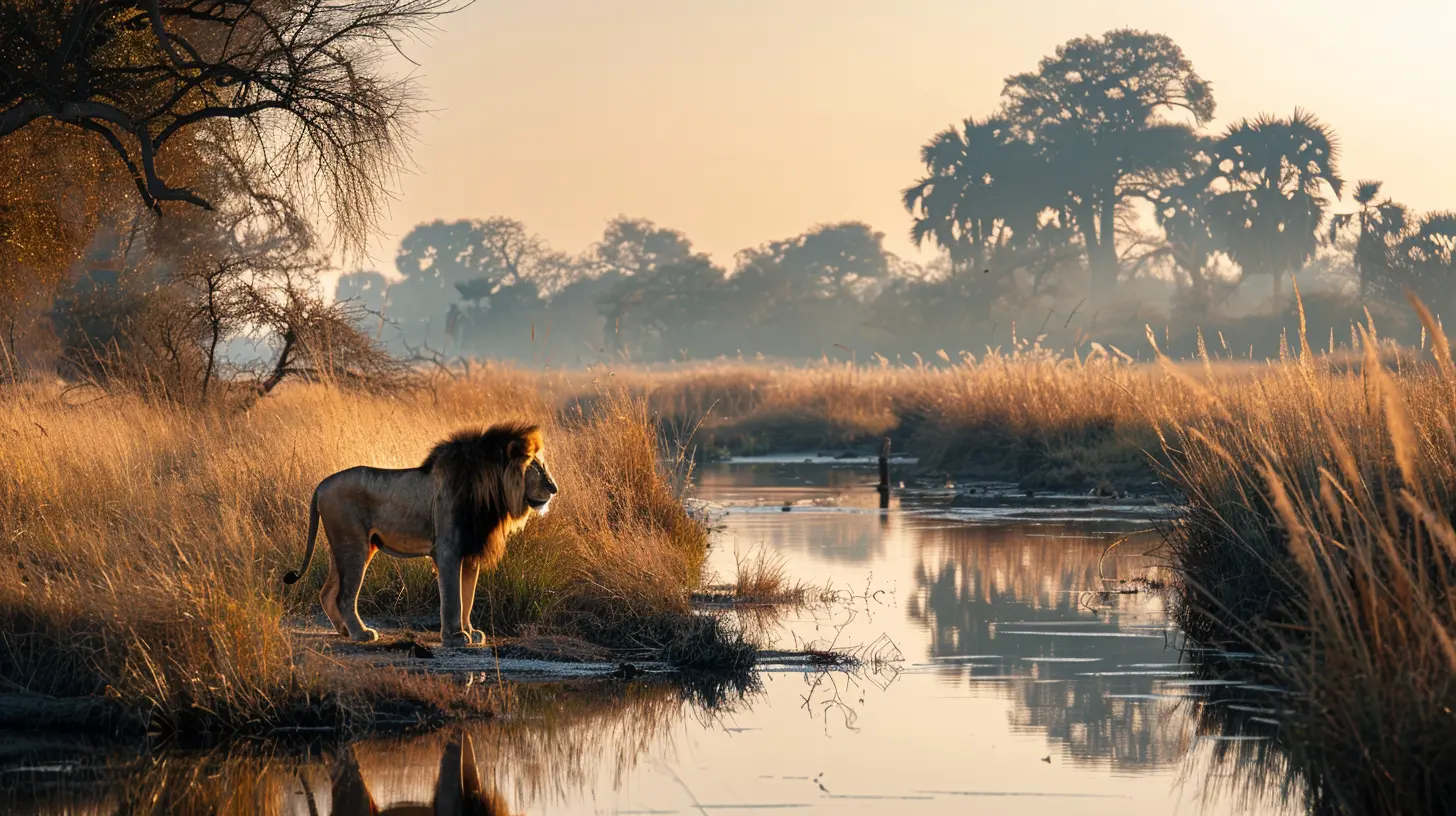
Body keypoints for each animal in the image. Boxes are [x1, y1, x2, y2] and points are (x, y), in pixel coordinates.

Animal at [283, 422, 558, 648]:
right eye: (533, 466)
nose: (554, 488)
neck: (490, 494)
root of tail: (321, 485)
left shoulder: (469, 552)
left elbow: (467, 596)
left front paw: (471, 632)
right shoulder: (448, 551)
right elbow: (453, 598)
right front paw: (454, 637)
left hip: (344, 548)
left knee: (327, 592)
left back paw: (344, 630)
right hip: (354, 547)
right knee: (344, 596)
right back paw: (361, 633)